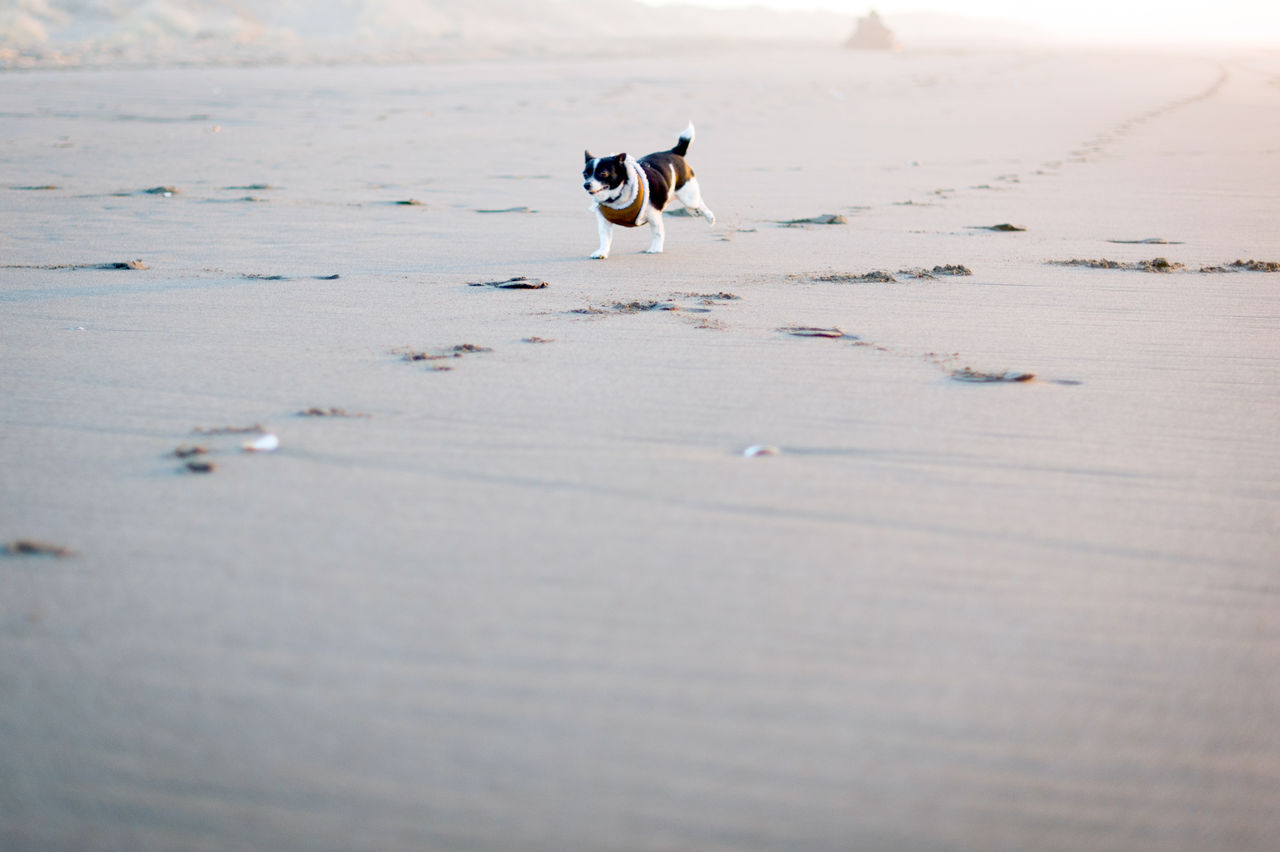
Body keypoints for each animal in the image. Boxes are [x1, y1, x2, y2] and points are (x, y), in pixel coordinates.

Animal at [586, 120, 716, 257]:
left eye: (603, 173)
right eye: (585, 174)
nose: (586, 185)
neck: (616, 198)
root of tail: (674, 152)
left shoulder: (654, 216)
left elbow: (657, 233)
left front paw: (655, 249)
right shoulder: (604, 222)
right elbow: (605, 238)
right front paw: (602, 252)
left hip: (688, 197)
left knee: (699, 203)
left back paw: (709, 217)